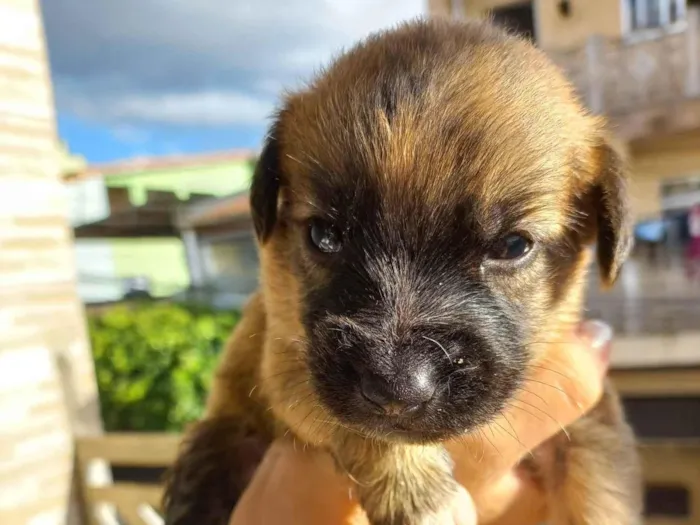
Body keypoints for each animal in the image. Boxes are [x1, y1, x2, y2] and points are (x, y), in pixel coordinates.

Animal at [161, 16, 644, 524]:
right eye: (324, 235)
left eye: (514, 246)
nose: (397, 387)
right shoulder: (284, 359)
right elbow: (361, 427)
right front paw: (418, 493)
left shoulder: (592, 426)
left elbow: (599, 494)